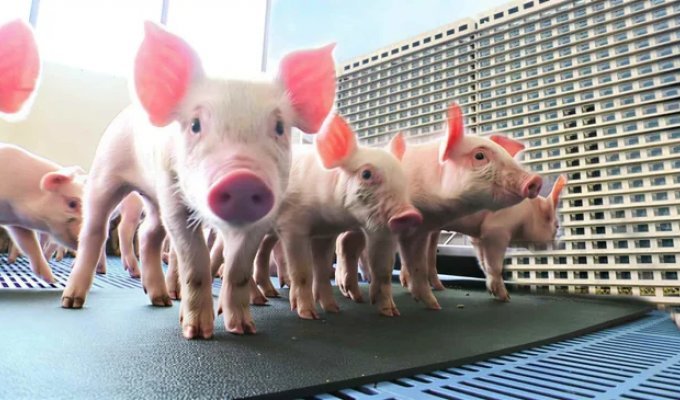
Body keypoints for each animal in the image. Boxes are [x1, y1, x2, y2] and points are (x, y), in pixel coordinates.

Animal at [61, 21, 336, 339]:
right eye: (195, 125)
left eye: (279, 127)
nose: (242, 179)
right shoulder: (175, 199)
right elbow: (195, 263)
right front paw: (196, 333)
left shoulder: (262, 218)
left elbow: (238, 269)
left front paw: (244, 329)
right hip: (106, 173)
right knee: (95, 230)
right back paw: (71, 301)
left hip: (155, 198)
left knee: (149, 234)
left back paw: (161, 300)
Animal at [253, 114, 422, 319]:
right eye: (366, 174)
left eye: (403, 177)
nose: (410, 214)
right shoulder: (292, 225)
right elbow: (302, 271)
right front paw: (309, 315)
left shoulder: (326, 233)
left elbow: (323, 269)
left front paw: (334, 309)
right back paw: (260, 300)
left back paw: (271, 294)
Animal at [336, 103, 542, 310]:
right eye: (479, 156)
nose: (535, 179)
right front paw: (434, 305)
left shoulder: (422, 230)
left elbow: (417, 264)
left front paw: (432, 303)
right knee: (345, 243)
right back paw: (353, 294)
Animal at [398, 175, 567, 301]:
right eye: (557, 226)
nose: (561, 244)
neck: (527, 215)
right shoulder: (496, 229)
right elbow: (495, 264)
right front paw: (505, 297)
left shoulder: (477, 237)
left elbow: (483, 261)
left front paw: (493, 291)